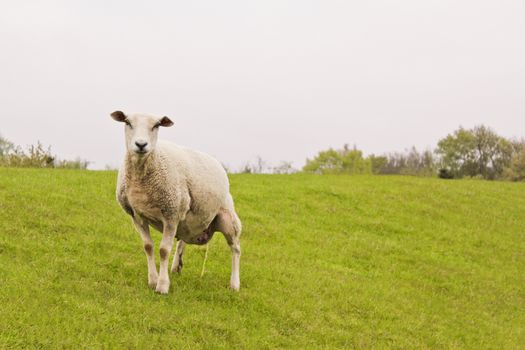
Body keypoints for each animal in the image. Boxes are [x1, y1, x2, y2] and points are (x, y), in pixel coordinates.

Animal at [111, 110, 243, 294]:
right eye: (127, 122)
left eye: (156, 125)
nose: (141, 144)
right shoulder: (137, 216)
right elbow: (148, 247)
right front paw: (153, 280)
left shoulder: (171, 214)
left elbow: (164, 250)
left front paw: (162, 286)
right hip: (189, 219)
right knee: (183, 240)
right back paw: (175, 267)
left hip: (227, 218)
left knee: (235, 248)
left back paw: (234, 284)